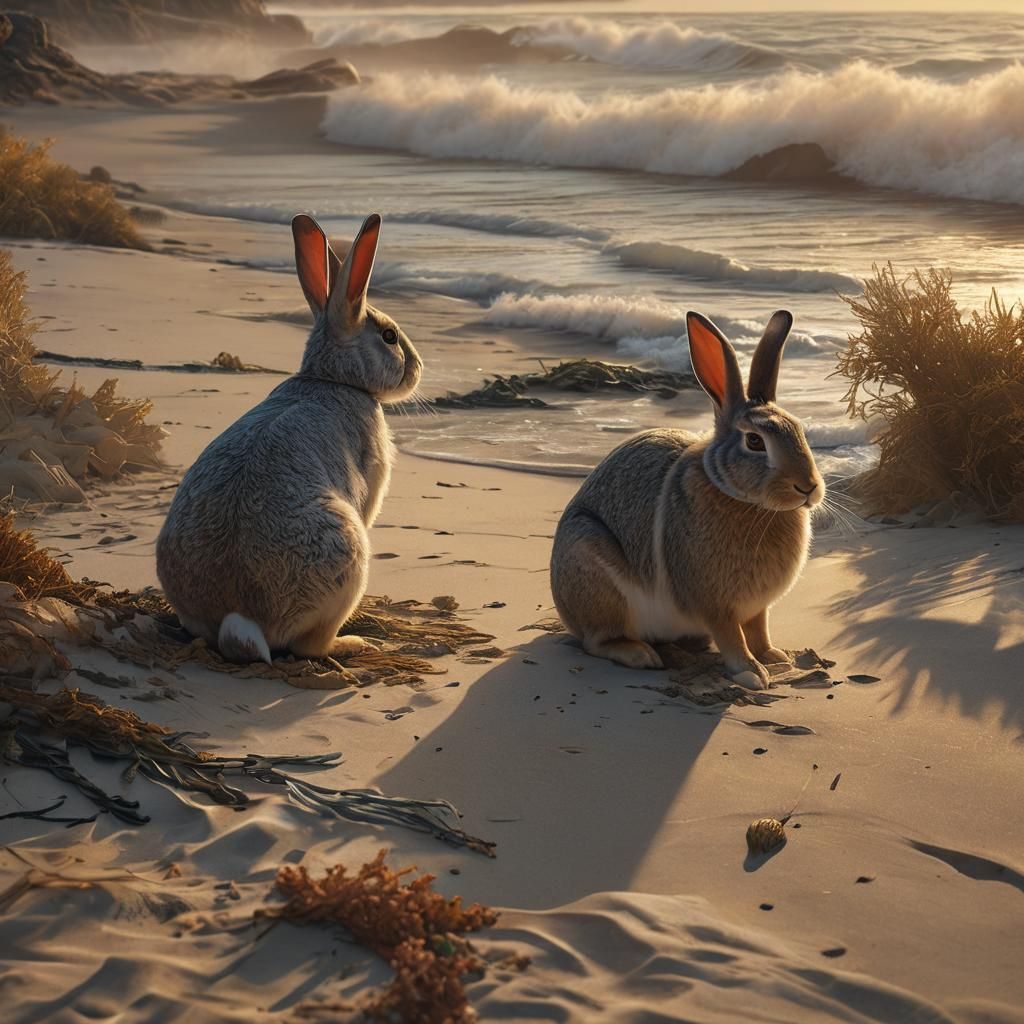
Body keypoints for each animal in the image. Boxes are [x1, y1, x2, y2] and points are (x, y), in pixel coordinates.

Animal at [156, 212, 422, 664]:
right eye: (389, 337)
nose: (418, 367)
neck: (333, 379)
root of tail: (238, 616)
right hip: (349, 558)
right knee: (307, 646)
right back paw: (354, 643)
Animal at [550, 309, 824, 690]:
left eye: (800, 430)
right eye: (755, 441)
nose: (808, 487)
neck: (740, 497)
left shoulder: (757, 608)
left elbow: (758, 630)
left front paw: (773, 657)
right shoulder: (715, 604)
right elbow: (732, 637)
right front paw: (751, 673)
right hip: (592, 566)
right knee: (598, 640)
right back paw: (640, 655)